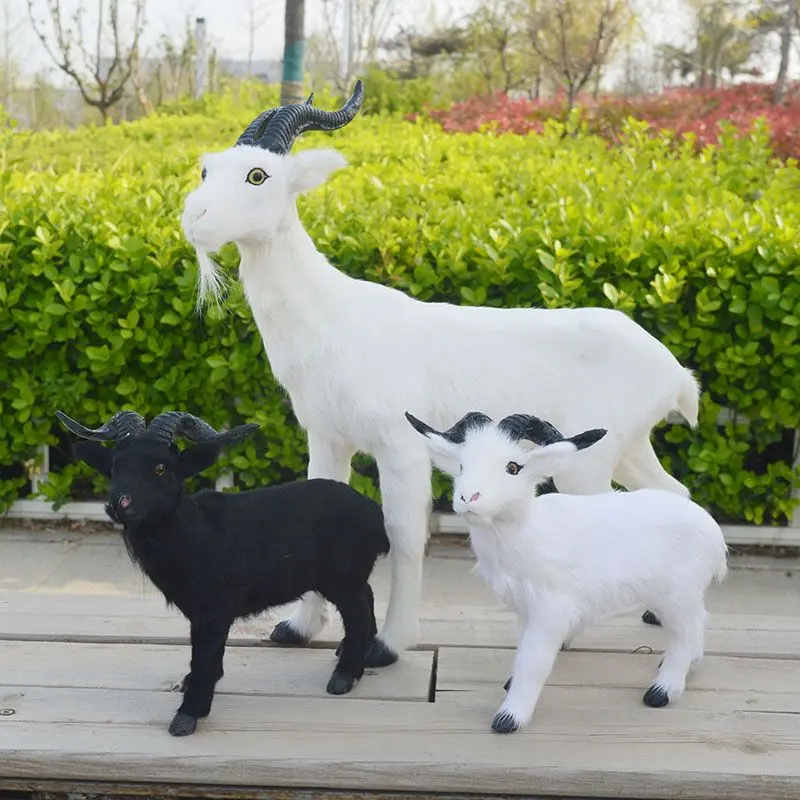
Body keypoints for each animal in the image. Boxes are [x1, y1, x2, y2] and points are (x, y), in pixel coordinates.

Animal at [56, 408, 390, 737]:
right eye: (114, 468)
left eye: (161, 468)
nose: (119, 505)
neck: (194, 531)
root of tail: (374, 513)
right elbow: (208, 656)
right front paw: (194, 684)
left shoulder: (213, 610)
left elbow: (204, 654)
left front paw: (188, 714)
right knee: (367, 595)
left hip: (343, 575)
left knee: (358, 614)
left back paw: (345, 675)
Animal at [180, 79, 701, 668]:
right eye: (207, 170)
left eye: (258, 175)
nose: (195, 218)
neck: (334, 316)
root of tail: (677, 376)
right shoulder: (328, 437)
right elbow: (319, 506)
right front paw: (296, 628)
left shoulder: (400, 446)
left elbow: (406, 536)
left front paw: (387, 644)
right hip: (630, 449)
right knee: (674, 492)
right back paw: (658, 610)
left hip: (587, 462)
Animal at [405, 410, 728, 734]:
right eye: (462, 465)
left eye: (513, 467)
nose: (468, 498)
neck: (528, 530)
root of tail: (716, 537)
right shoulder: (525, 611)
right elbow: (521, 650)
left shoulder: (551, 611)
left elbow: (533, 661)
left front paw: (509, 718)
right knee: (700, 621)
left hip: (678, 593)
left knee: (686, 632)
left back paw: (662, 691)